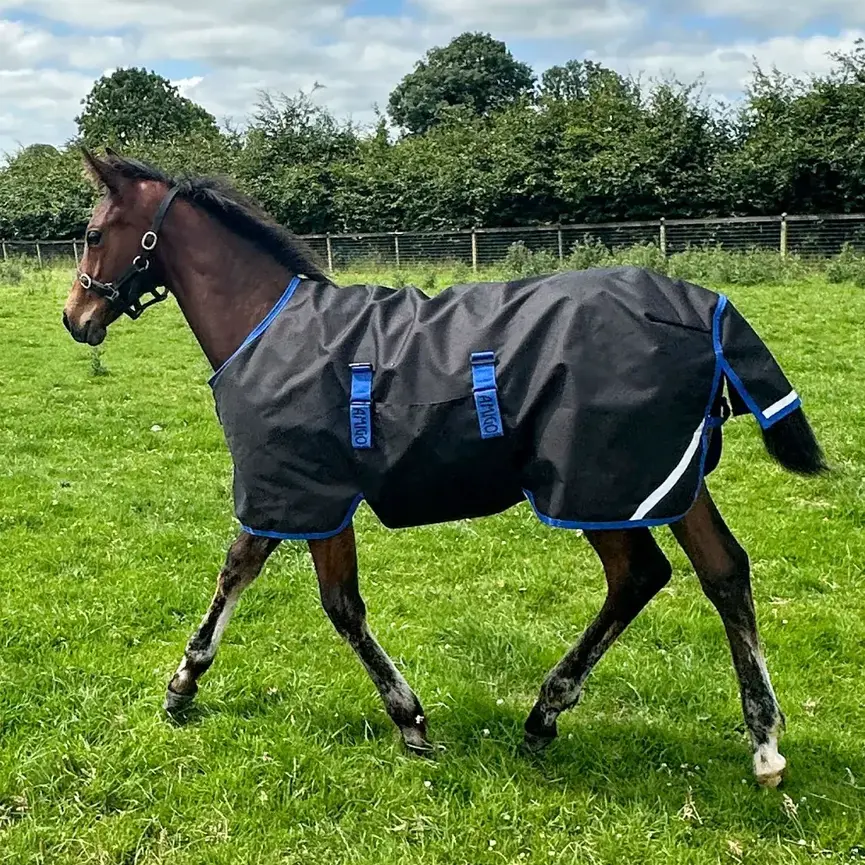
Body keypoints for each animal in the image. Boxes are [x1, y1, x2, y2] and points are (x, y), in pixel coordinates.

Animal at [62, 148, 826, 789]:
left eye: (95, 233)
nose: (76, 317)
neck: (267, 326)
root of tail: (703, 306)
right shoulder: (302, 495)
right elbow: (266, 577)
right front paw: (187, 683)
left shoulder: (302, 491)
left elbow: (313, 596)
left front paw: (405, 717)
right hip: (664, 480)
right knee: (723, 571)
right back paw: (762, 742)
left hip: (595, 486)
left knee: (640, 574)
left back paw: (547, 712)